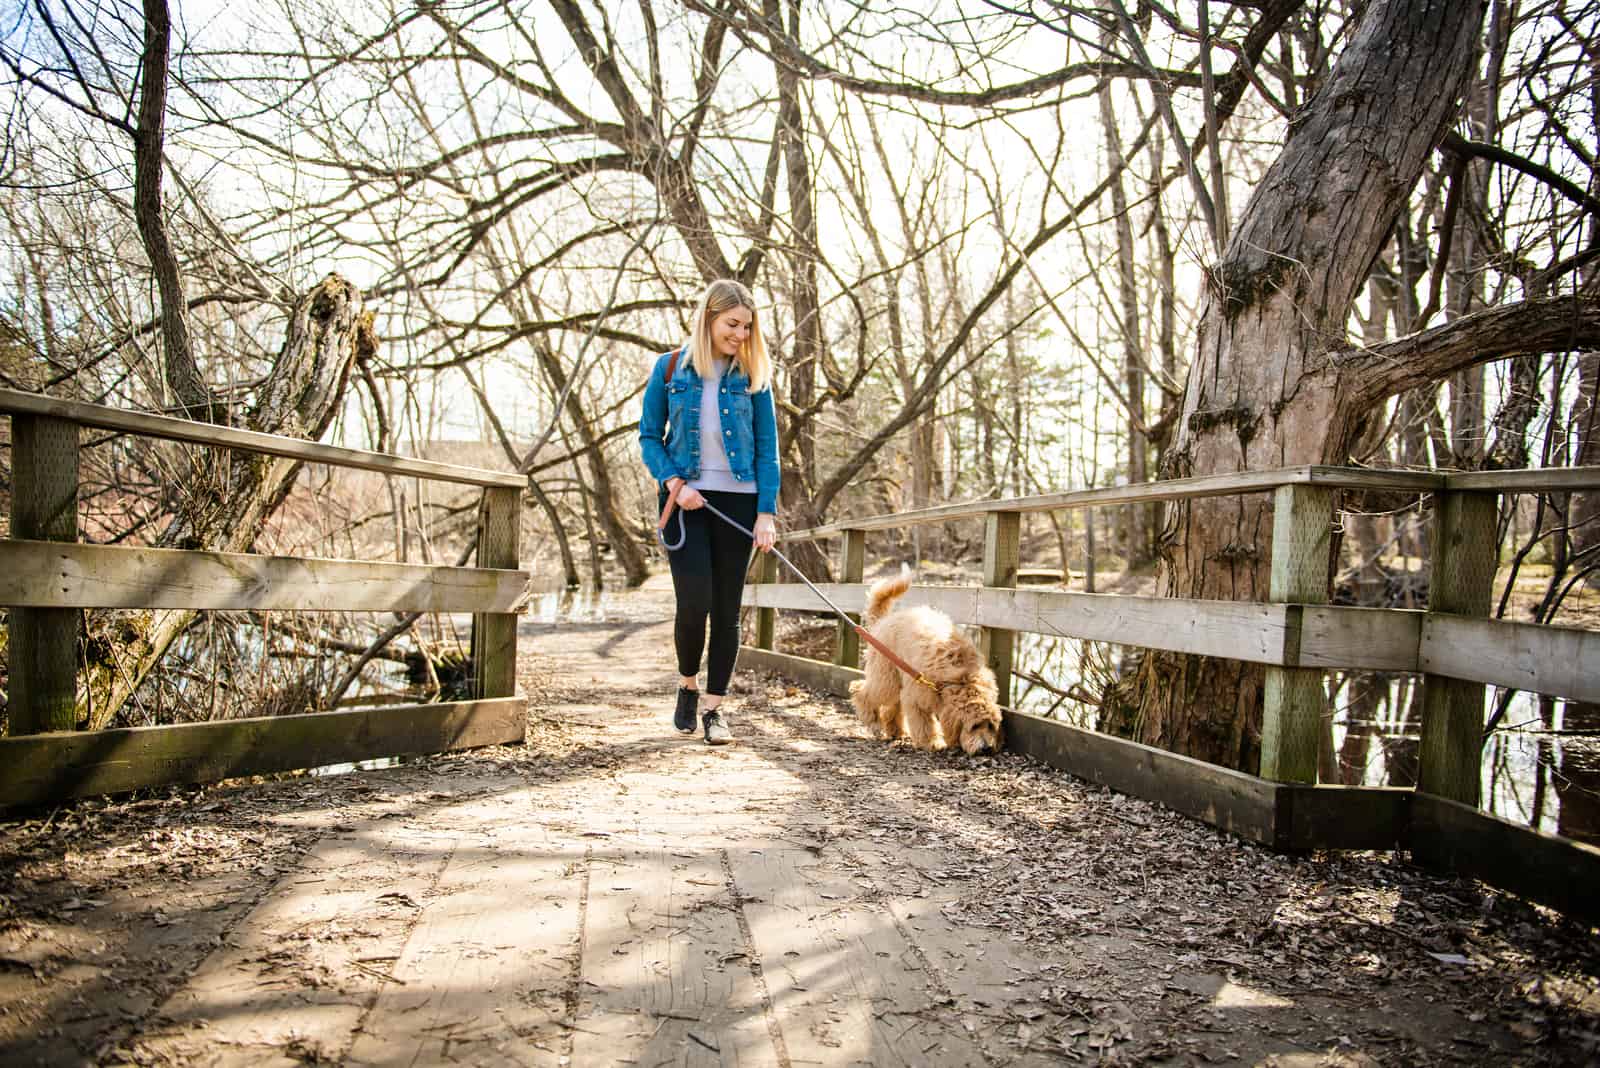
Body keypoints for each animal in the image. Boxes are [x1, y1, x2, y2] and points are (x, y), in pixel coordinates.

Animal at [851, 572, 998, 754]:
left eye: (990, 726)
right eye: (974, 726)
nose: (986, 748)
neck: (961, 677)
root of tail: (883, 621)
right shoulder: (916, 698)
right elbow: (924, 724)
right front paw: (931, 742)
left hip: (897, 679)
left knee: (892, 706)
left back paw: (895, 730)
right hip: (886, 678)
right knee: (860, 690)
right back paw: (873, 721)